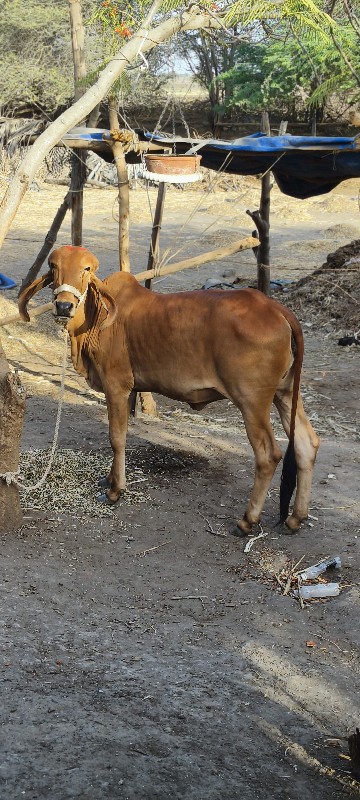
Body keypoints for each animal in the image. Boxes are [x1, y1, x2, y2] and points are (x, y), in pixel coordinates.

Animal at [18, 247, 320, 536]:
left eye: (87, 268)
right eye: (54, 266)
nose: (64, 305)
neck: (97, 317)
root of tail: (277, 309)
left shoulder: (116, 386)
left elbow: (116, 438)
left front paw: (115, 491)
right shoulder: (128, 390)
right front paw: (111, 479)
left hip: (252, 400)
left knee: (268, 455)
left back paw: (247, 521)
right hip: (285, 393)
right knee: (307, 443)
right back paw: (296, 518)